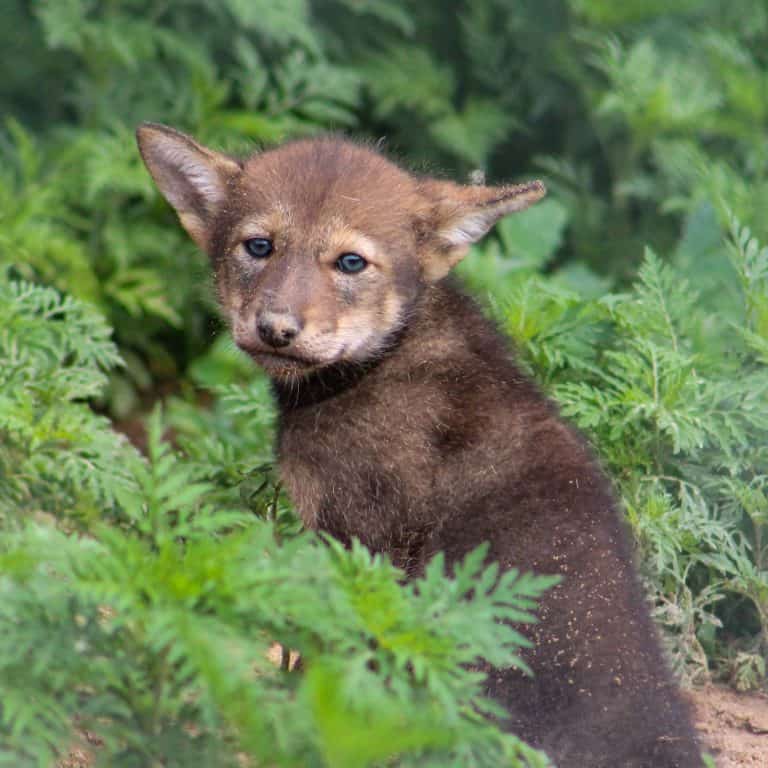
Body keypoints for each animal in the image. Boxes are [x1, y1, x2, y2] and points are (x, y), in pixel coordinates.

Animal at [137, 123, 703, 766]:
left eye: (351, 262)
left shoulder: (362, 539)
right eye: (259, 247)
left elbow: (326, 661)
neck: (385, 357)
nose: (276, 329)